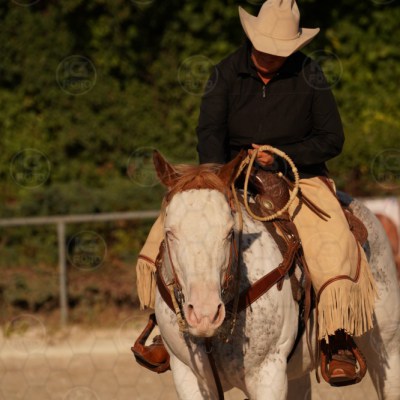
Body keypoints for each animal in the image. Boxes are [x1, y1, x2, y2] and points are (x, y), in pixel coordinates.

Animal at [152, 151, 400, 400]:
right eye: (169, 232)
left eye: (229, 232)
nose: (205, 314)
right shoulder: (188, 377)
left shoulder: (268, 375)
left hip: (387, 348)